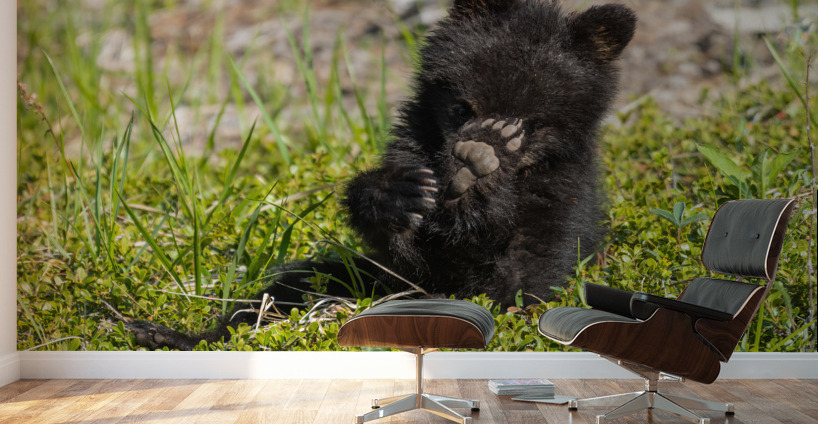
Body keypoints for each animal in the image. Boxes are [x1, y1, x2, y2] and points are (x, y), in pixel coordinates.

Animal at [127, 0, 636, 350]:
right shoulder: (416, 150)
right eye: (461, 105)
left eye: (528, 124)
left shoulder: (559, 197)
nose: (476, 146)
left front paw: (479, 180)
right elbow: (406, 247)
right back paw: (167, 333)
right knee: (292, 286)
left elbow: (526, 272)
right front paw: (399, 194)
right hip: (363, 280)